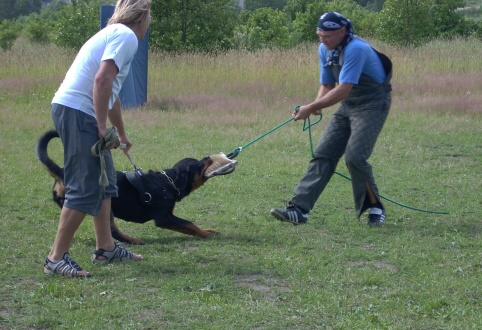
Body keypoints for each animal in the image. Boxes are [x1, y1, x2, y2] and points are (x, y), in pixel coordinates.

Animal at [36, 129, 218, 245]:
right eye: (199, 164)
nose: (208, 156)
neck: (169, 182)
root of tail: (61, 172)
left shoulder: (168, 217)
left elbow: (187, 227)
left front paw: (205, 231)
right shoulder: (163, 217)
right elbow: (189, 224)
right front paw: (206, 233)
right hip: (105, 205)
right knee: (113, 230)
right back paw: (132, 240)